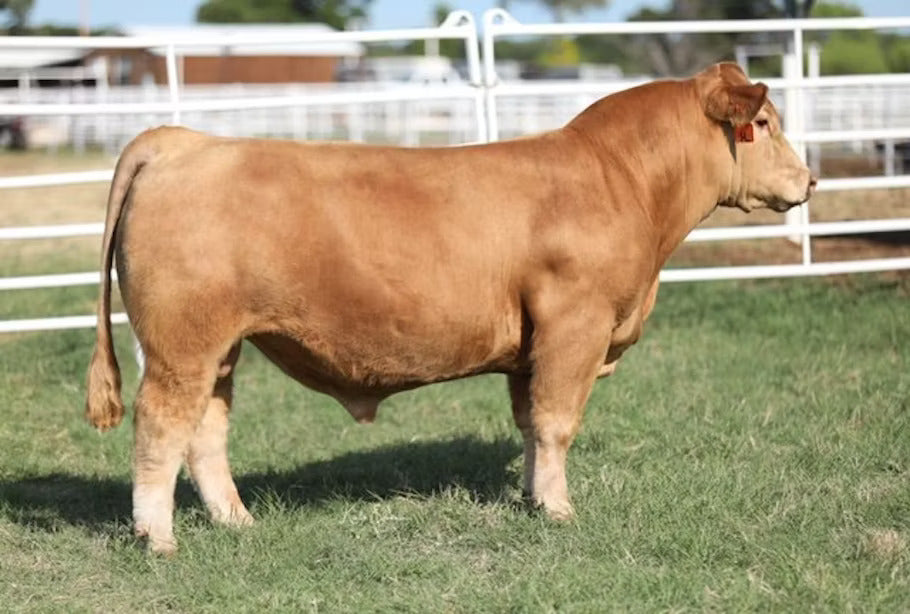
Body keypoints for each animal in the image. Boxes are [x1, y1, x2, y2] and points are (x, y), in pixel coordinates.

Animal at [85, 62, 816, 554]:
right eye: (764, 124)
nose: (810, 180)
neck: (623, 181)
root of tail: (184, 140)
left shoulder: (531, 348)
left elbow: (530, 426)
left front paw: (533, 497)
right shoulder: (574, 328)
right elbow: (557, 423)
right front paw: (560, 511)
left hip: (219, 348)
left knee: (206, 428)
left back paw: (237, 520)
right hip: (182, 344)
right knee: (161, 427)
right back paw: (157, 537)